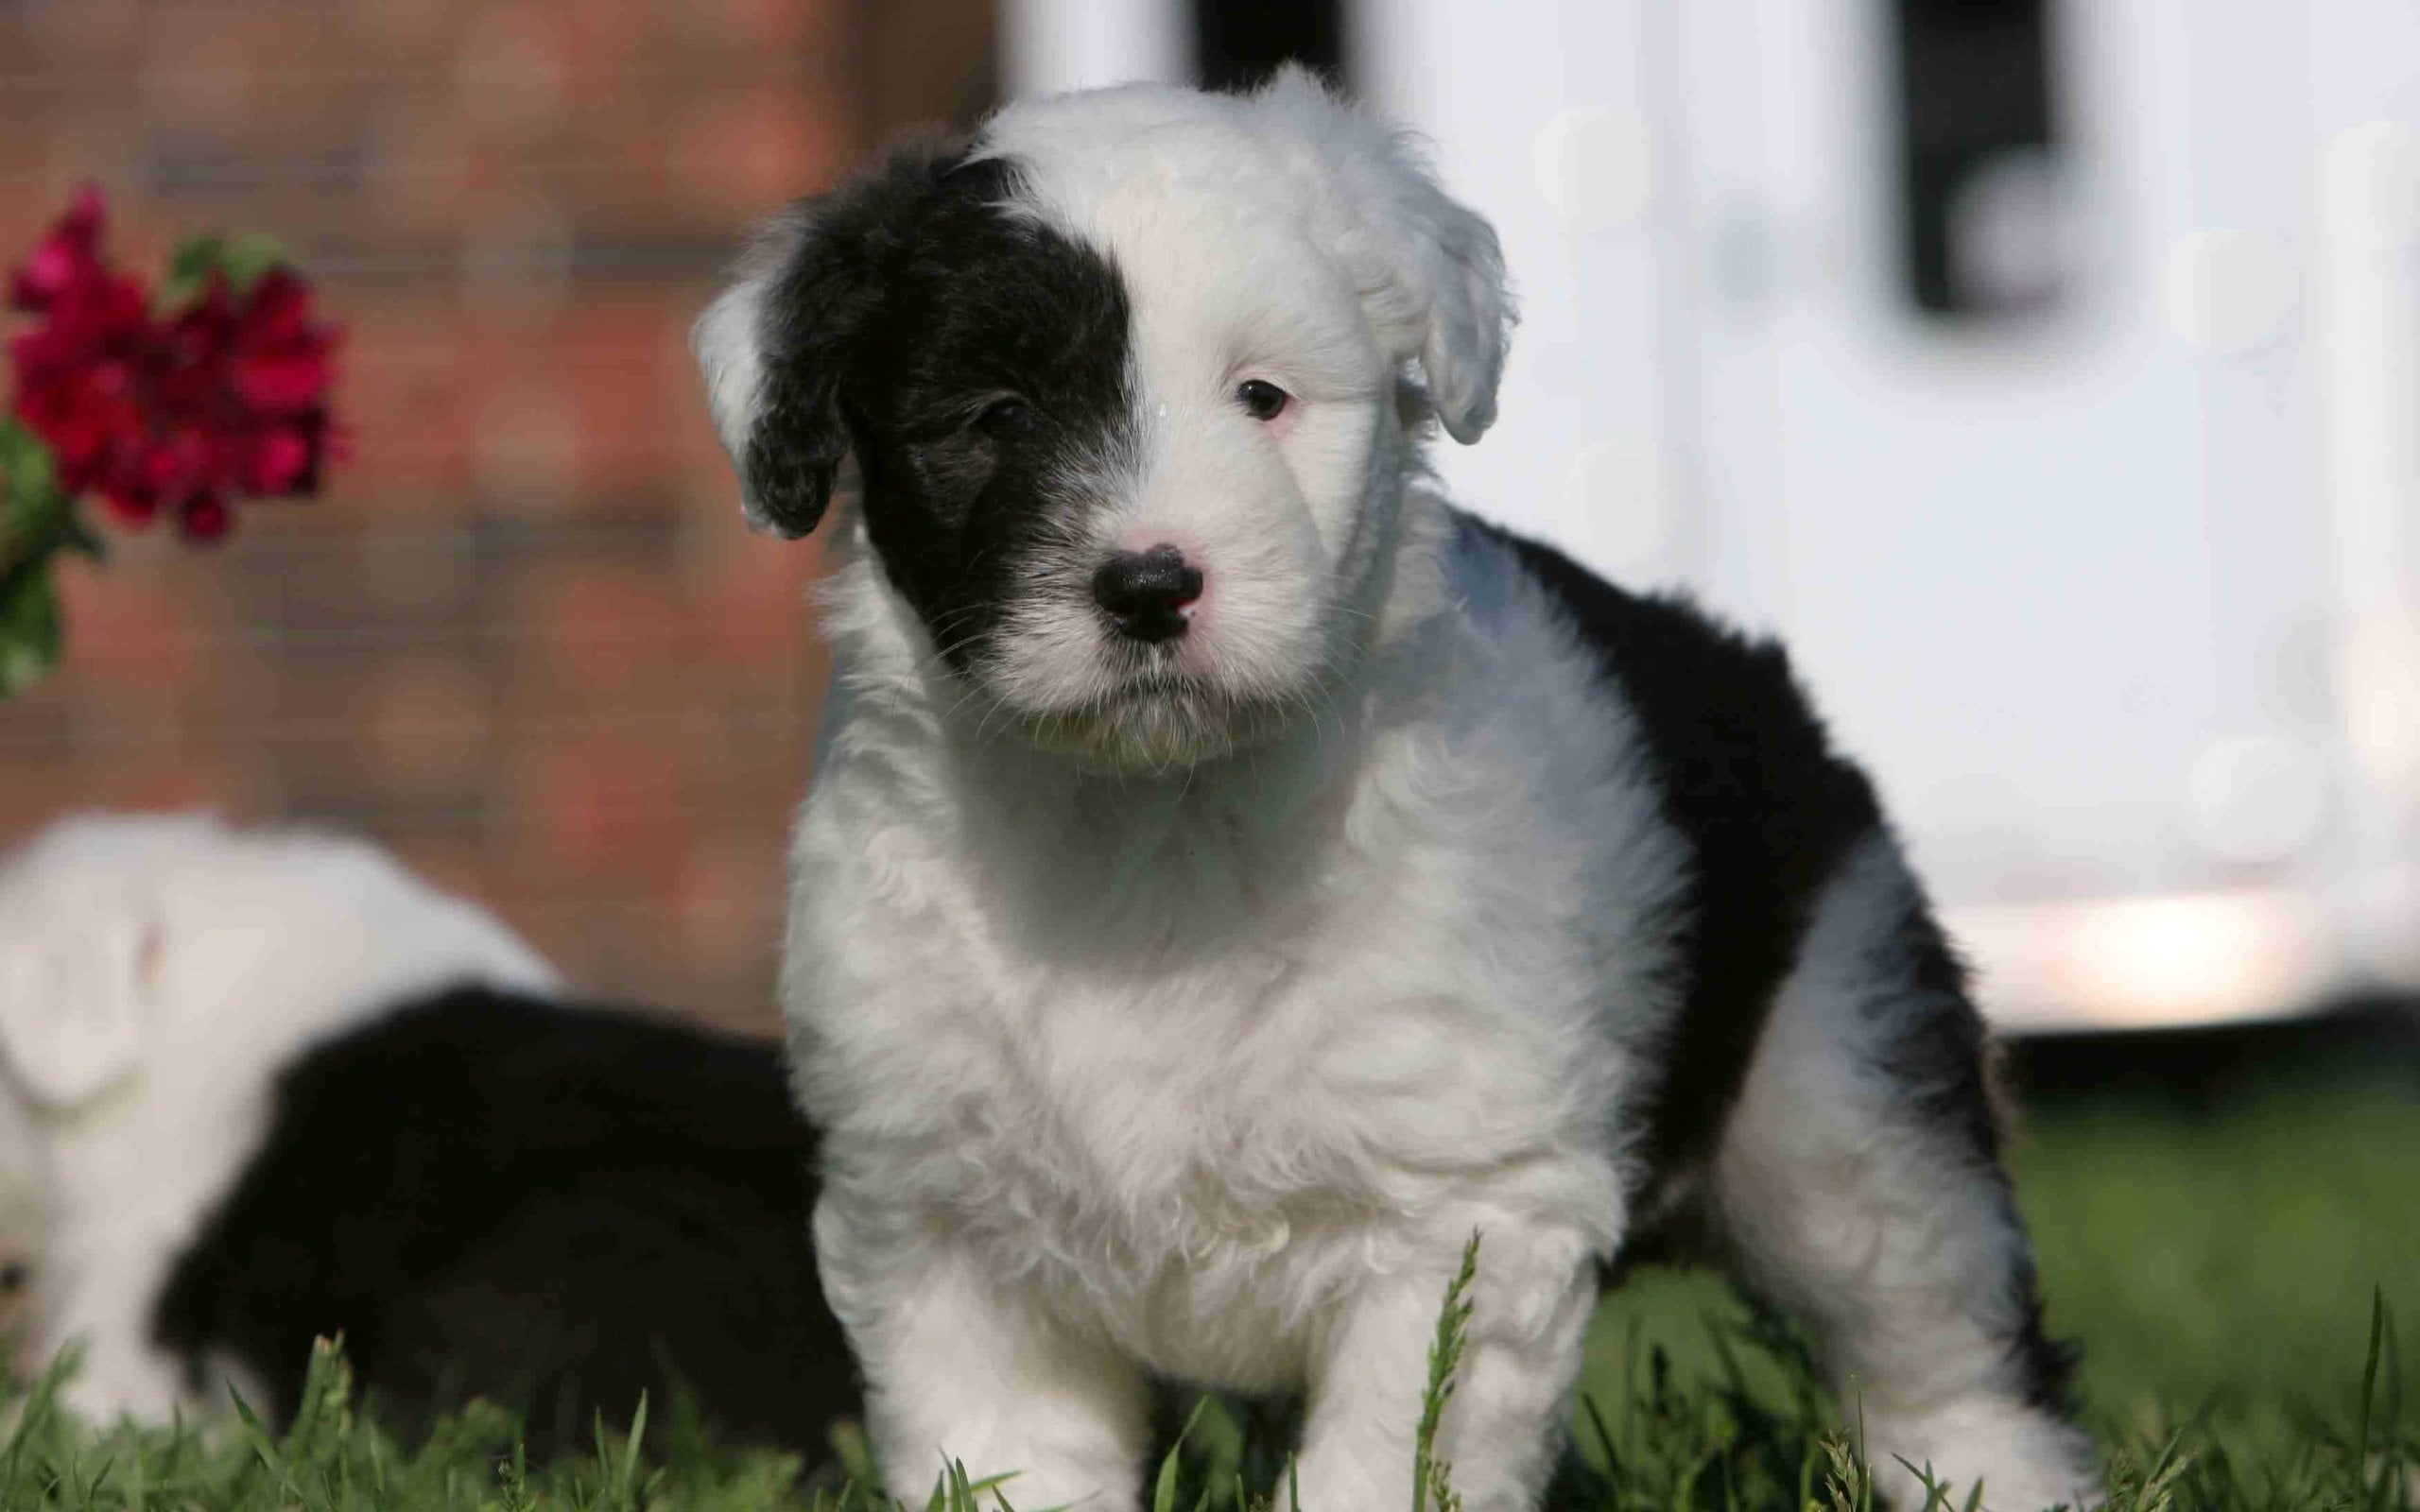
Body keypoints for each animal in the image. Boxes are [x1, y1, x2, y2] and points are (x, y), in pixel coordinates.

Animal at [697, 70, 2100, 1509]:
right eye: (996, 419)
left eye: (1262, 398)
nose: (1149, 586)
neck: (1153, 821)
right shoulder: (943, 1225)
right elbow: (1008, 1458)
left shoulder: (1459, 1213)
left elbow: (1386, 1456)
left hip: (1841, 1077)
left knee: (1937, 1345)